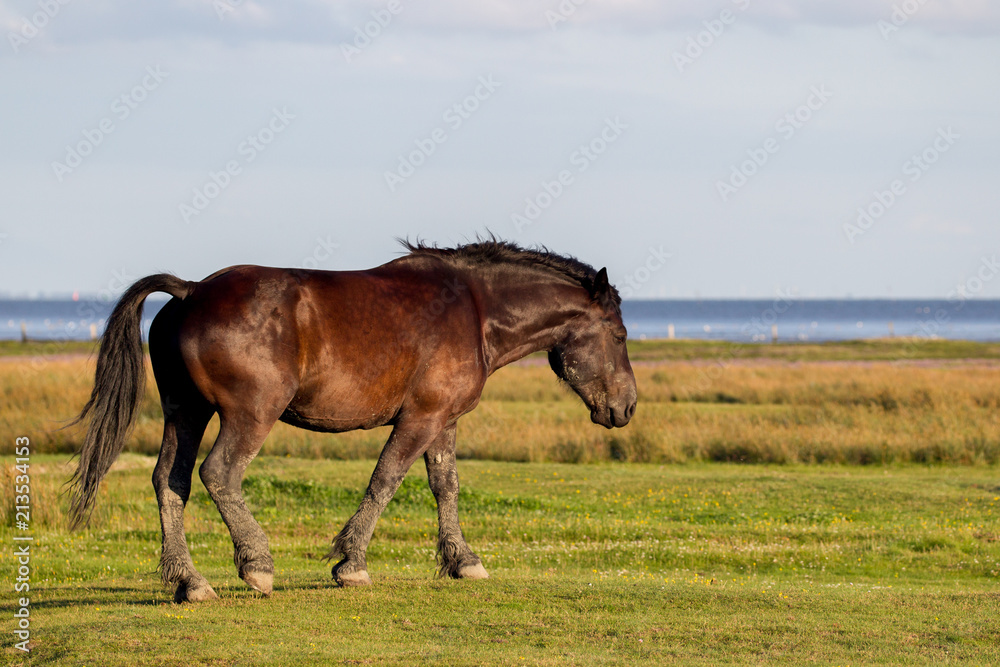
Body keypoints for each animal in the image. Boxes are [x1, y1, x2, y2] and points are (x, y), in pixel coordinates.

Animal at [69, 240, 637, 603]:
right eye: (621, 335)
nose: (627, 407)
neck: (476, 310)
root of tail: (190, 290)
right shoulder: (419, 419)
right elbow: (385, 480)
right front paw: (352, 564)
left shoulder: (443, 422)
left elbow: (446, 486)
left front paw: (462, 559)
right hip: (249, 416)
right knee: (219, 475)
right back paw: (257, 565)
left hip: (186, 412)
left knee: (172, 481)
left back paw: (190, 582)